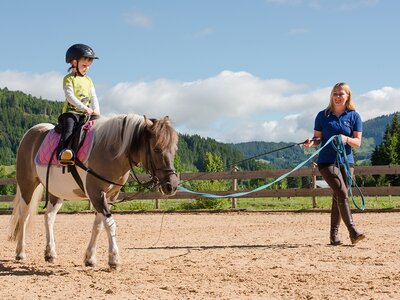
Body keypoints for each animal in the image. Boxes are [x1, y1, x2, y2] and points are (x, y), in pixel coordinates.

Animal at [7, 113, 180, 268]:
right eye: (156, 149)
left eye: (174, 149)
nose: (172, 185)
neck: (109, 150)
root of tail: (32, 132)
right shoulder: (96, 193)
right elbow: (110, 224)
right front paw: (114, 259)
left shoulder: (110, 196)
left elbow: (98, 225)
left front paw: (90, 258)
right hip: (27, 185)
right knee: (24, 216)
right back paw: (20, 252)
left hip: (56, 192)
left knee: (48, 217)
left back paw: (50, 253)